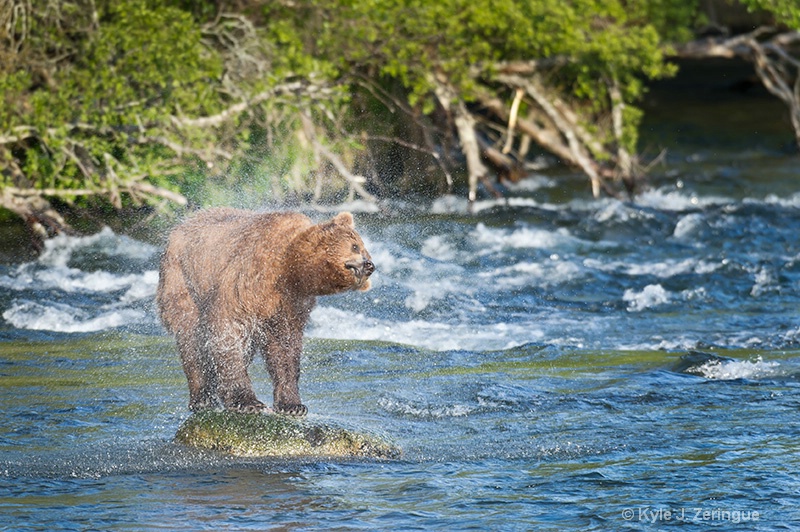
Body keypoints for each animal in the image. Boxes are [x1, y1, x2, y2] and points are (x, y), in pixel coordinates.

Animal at [156, 210, 376, 418]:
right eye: (356, 246)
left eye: (365, 249)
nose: (370, 265)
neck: (291, 268)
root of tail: (181, 226)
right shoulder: (248, 279)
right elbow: (228, 331)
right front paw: (246, 402)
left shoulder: (289, 304)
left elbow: (285, 349)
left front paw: (293, 405)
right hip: (182, 280)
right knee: (191, 337)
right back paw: (203, 398)